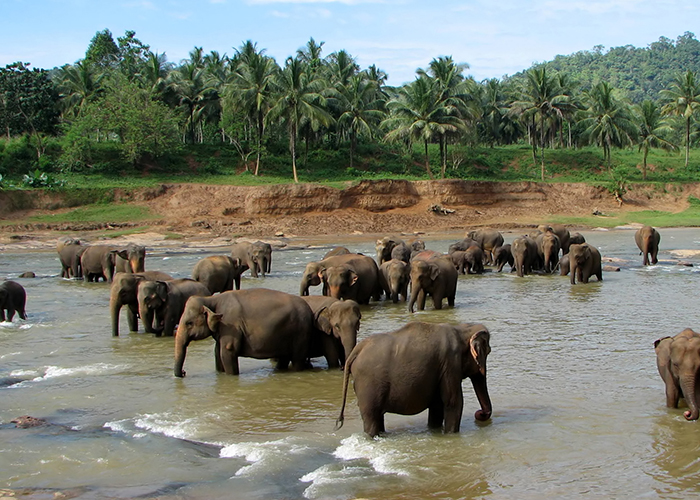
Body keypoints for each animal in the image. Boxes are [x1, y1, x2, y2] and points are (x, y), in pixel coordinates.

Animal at [174, 288, 316, 377]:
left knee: (297, 359)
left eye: (189, 323)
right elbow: (217, 352)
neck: (211, 299)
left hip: (301, 333)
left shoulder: (230, 324)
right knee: (284, 358)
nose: (184, 372)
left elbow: (228, 350)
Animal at [336, 321, 492, 437]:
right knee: (371, 417)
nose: (479, 414)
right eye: (488, 351)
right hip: (368, 386)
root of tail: (357, 350)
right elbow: (453, 402)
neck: (462, 329)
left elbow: (437, 405)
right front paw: (450, 435)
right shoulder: (450, 363)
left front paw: (435, 432)